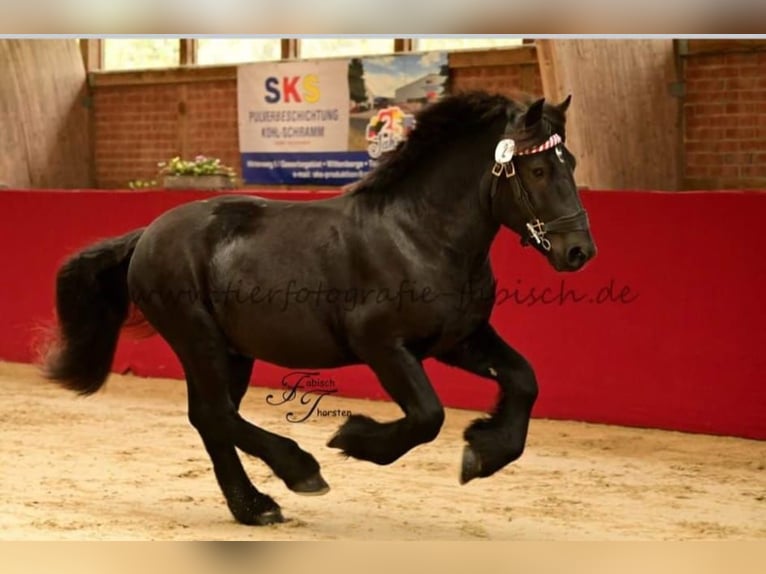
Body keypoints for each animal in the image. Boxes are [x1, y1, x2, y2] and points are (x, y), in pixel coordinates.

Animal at [42, 90, 596, 528]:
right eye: (539, 169)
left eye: (571, 164)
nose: (578, 251)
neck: (419, 234)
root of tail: (148, 235)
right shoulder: (382, 345)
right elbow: (427, 415)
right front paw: (354, 439)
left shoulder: (458, 339)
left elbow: (524, 380)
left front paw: (482, 453)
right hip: (198, 340)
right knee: (216, 415)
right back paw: (299, 471)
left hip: (231, 351)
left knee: (211, 418)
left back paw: (254, 507)